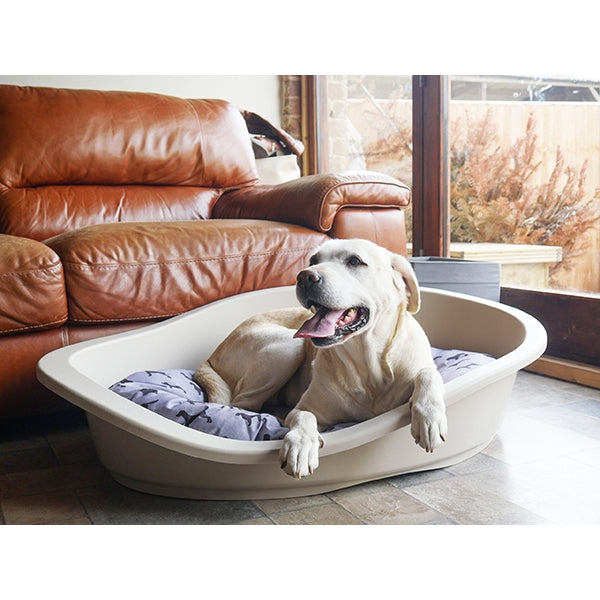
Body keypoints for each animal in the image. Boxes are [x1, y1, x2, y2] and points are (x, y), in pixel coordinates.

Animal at [195, 239, 448, 478]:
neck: (368, 365)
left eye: (355, 261)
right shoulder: (304, 408)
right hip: (288, 346)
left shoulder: (421, 367)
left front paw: (430, 417)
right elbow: (304, 415)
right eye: (313, 260)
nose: (305, 276)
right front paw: (300, 445)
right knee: (244, 405)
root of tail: (212, 355)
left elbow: (429, 374)